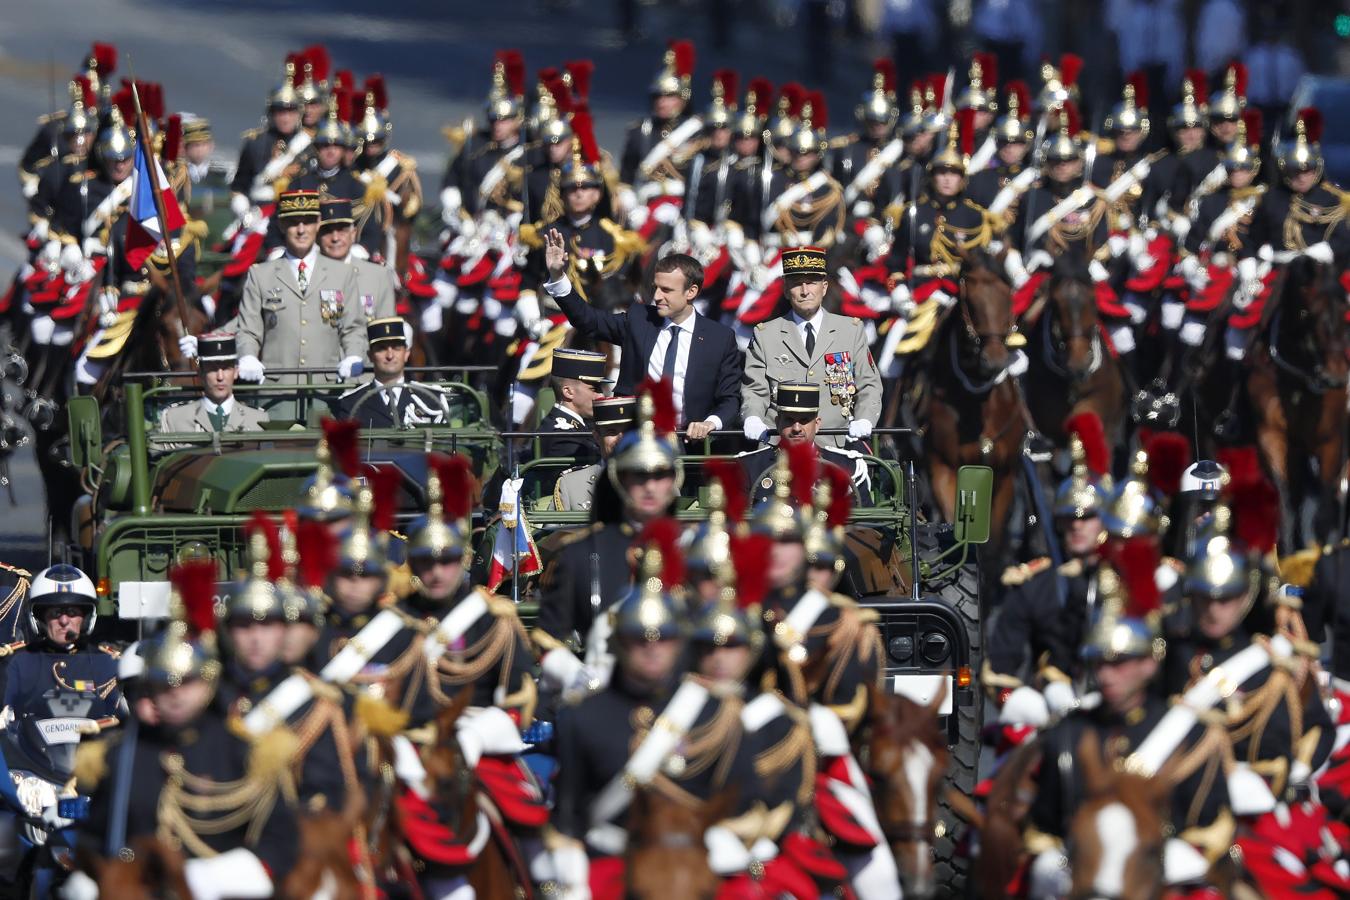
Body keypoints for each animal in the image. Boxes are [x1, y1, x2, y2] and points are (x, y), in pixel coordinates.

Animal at [928, 248, 1031, 564]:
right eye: (969, 299)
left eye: (1008, 295)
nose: (994, 360)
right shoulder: (943, 468)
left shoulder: (1003, 476)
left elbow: (991, 545)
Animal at [1247, 255, 1344, 550]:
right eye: (1306, 313)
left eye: (1345, 309)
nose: (1336, 377)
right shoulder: (1272, 436)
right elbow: (1285, 502)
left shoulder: (1331, 441)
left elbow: (1325, 504)